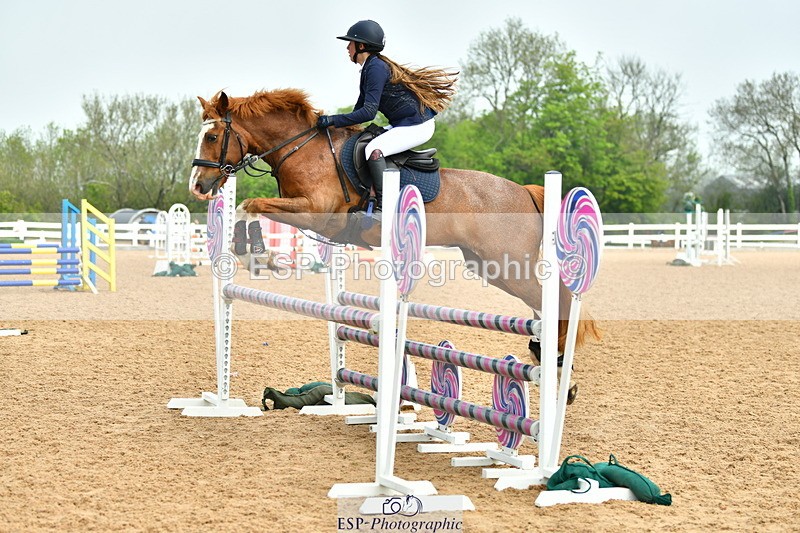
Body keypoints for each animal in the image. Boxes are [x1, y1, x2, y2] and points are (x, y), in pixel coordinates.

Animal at [189, 89, 601, 366]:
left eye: (212, 136)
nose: (198, 186)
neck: (302, 149)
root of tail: (524, 192)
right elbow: (248, 207)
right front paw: (252, 254)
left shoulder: (318, 214)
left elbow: (251, 205)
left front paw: (260, 257)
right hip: (489, 266)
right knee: (542, 302)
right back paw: (546, 356)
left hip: (508, 262)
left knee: (554, 300)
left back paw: (556, 359)